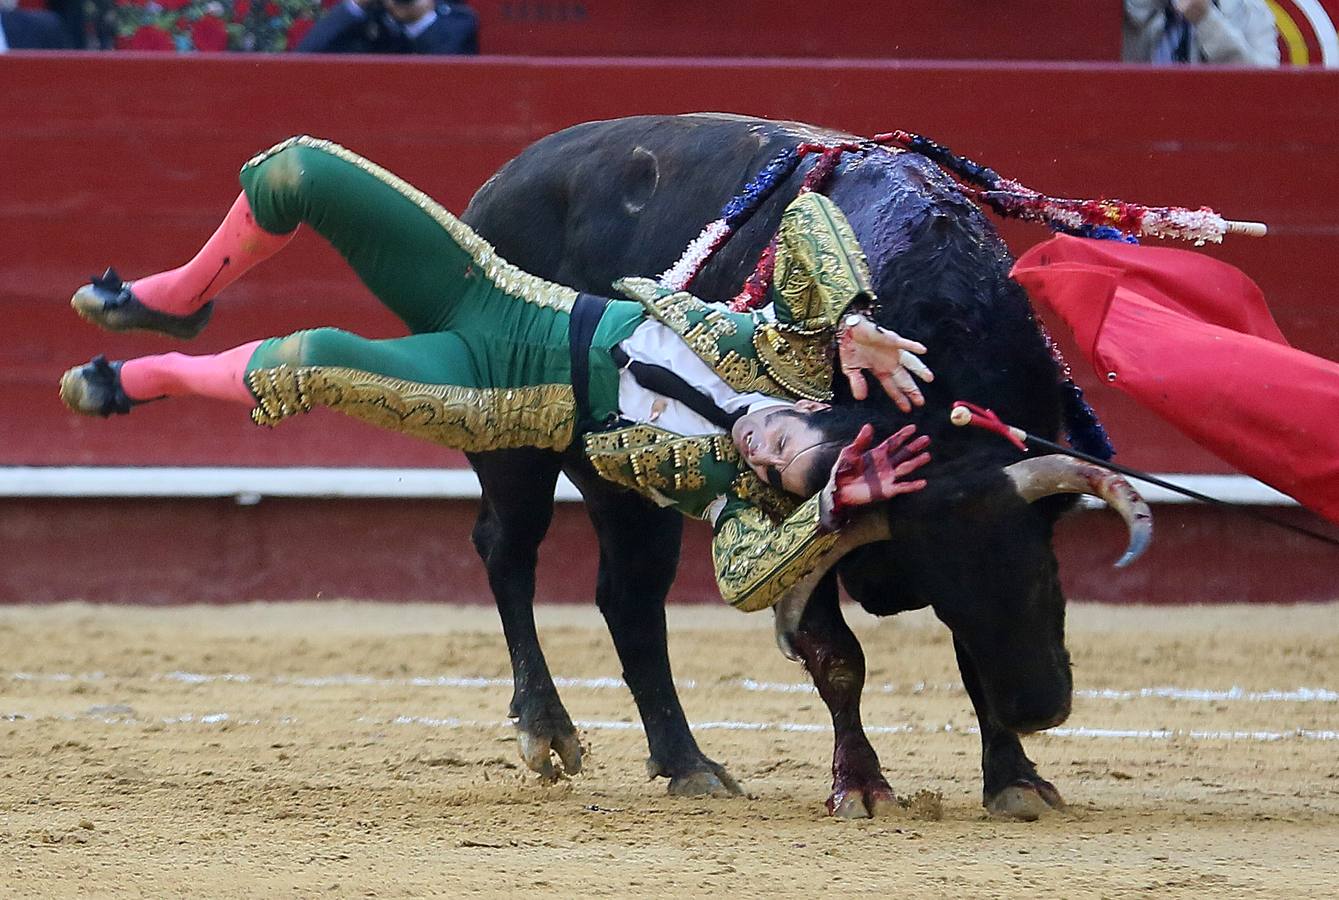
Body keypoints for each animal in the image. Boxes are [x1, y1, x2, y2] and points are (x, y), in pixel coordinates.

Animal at [457, 114, 1140, 825]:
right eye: (948, 586)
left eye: (1044, 575)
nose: (1038, 707)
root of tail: (495, 187)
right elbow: (838, 656)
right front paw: (861, 785)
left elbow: (965, 660)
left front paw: (1016, 779)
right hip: (514, 449)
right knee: (510, 552)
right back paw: (548, 727)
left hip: (624, 492)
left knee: (629, 597)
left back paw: (686, 762)